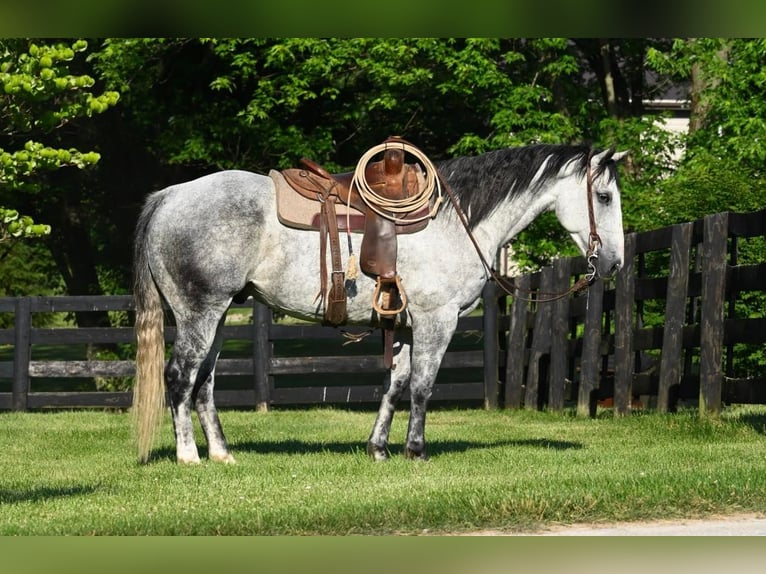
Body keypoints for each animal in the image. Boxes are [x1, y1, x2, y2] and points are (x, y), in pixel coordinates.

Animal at [132, 143, 632, 464]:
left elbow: (395, 386)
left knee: (204, 384)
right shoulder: (437, 321)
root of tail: (170, 196)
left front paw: (378, 448)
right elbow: (423, 388)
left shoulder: (408, 326)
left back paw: (222, 455)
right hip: (199, 314)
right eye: (604, 196)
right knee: (179, 378)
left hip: (215, 318)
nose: (612, 262)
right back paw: (189, 456)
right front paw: (416, 450)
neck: (459, 221)